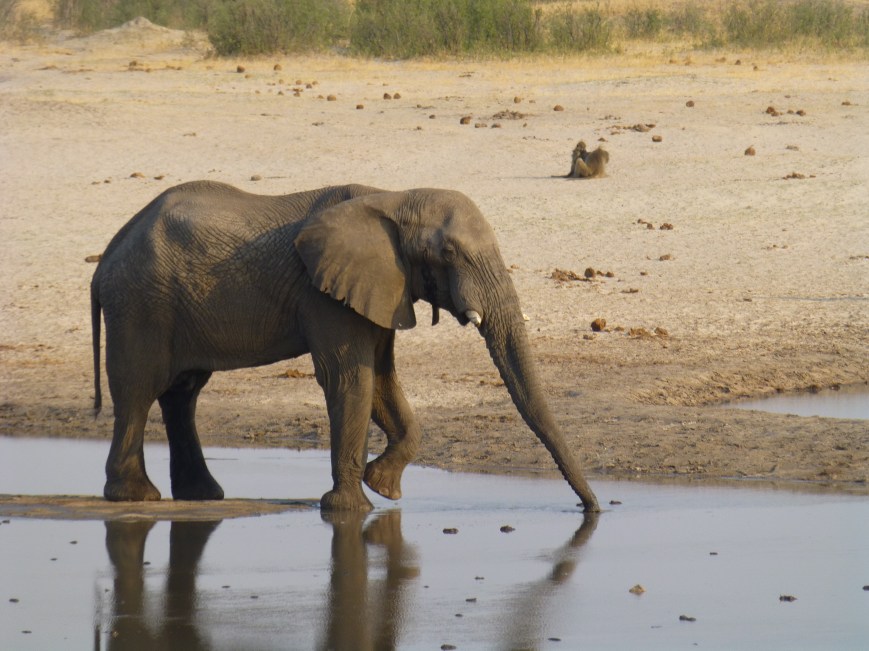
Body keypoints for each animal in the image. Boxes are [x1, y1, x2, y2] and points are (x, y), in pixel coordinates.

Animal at [91, 181, 600, 512]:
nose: (592, 510)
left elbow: (381, 381)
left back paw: (202, 495)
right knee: (139, 389)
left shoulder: (382, 286)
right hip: (140, 303)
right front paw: (351, 510)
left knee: (182, 393)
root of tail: (108, 253)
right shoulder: (325, 293)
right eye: (450, 253)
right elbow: (351, 378)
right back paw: (136, 497)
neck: (393, 199)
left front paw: (384, 488)